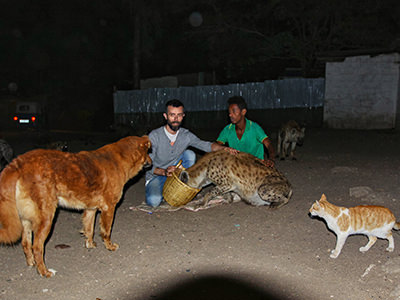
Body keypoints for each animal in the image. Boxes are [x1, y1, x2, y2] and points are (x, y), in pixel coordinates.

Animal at [0, 135, 151, 276]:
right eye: (148, 152)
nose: (151, 162)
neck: (121, 157)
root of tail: (18, 162)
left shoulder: (91, 209)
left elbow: (89, 230)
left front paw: (90, 244)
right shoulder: (109, 208)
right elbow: (106, 231)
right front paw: (109, 246)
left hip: (26, 219)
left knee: (26, 243)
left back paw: (31, 263)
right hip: (47, 217)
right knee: (37, 246)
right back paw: (44, 271)